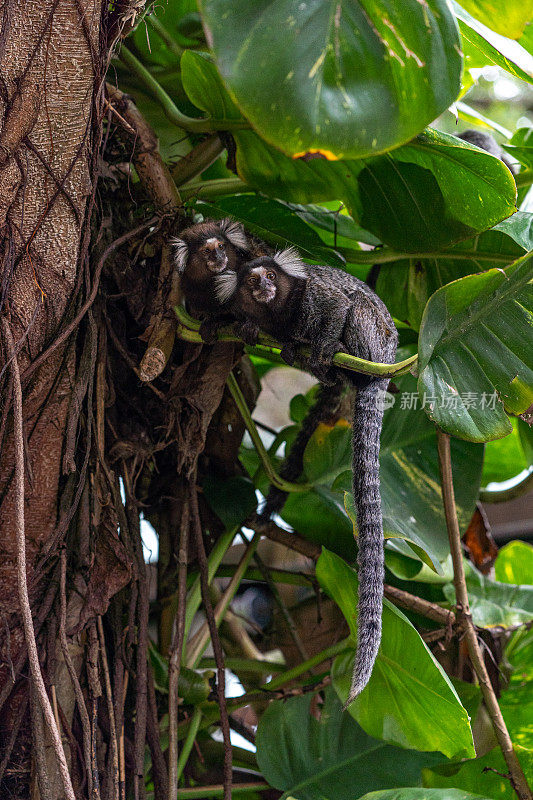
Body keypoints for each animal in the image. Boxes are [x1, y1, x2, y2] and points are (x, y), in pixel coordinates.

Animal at [214, 248, 396, 700]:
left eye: (269, 276)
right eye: (251, 281)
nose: (263, 286)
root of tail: (384, 369)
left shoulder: (313, 297)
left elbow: (339, 307)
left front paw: (326, 344)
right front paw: (250, 328)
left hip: (373, 338)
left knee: (355, 314)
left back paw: (337, 354)